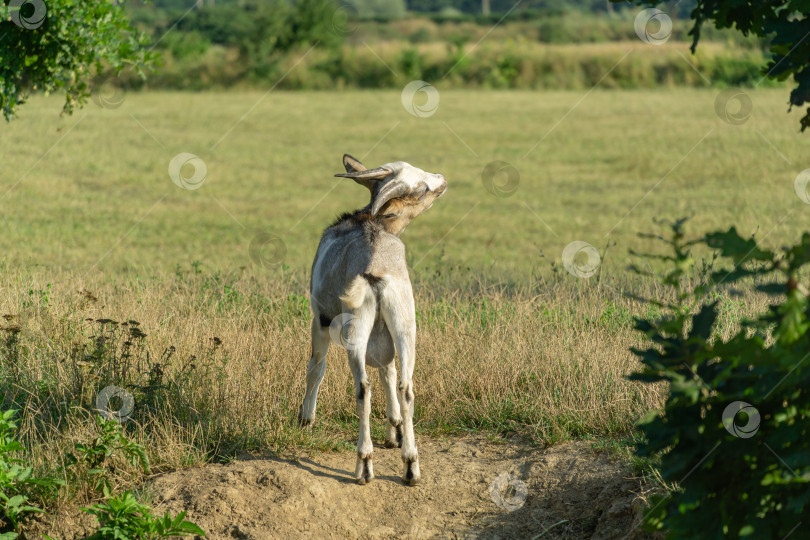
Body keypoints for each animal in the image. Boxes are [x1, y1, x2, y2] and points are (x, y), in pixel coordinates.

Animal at [298, 153, 446, 486]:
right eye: (420, 187)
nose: (442, 179)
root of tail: (378, 271)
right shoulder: (385, 338)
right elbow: (388, 373)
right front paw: (394, 432)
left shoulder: (319, 320)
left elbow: (316, 368)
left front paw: (305, 419)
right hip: (405, 326)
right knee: (406, 385)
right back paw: (411, 466)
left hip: (356, 329)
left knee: (362, 387)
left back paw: (364, 465)